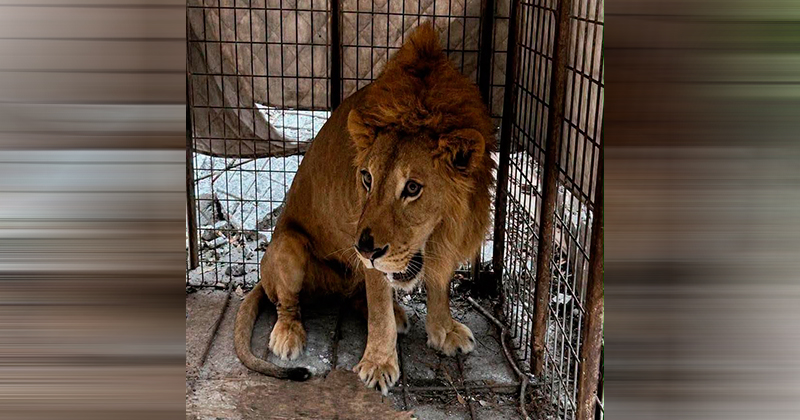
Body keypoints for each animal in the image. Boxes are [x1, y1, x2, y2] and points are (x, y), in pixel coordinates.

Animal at [233, 22, 496, 394]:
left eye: (412, 188)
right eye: (367, 178)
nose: (365, 250)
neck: (439, 231)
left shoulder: (446, 241)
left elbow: (438, 285)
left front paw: (444, 330)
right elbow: (379, 309)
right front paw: (379, 364)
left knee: (358, 297)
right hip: (288, 246)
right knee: (288, 304)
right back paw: (288, 337)